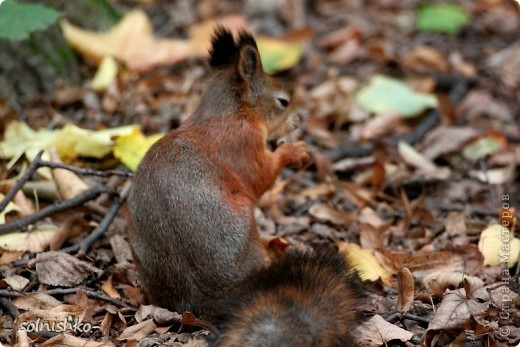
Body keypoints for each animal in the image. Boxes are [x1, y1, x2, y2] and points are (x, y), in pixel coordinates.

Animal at [129, 27, 366, 346]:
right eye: (283, 101)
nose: (298, 120)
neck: (228, 113)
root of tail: (206, 295)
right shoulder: (244, 144)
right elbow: (260, 177)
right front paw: (294, 152)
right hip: (245, 219)